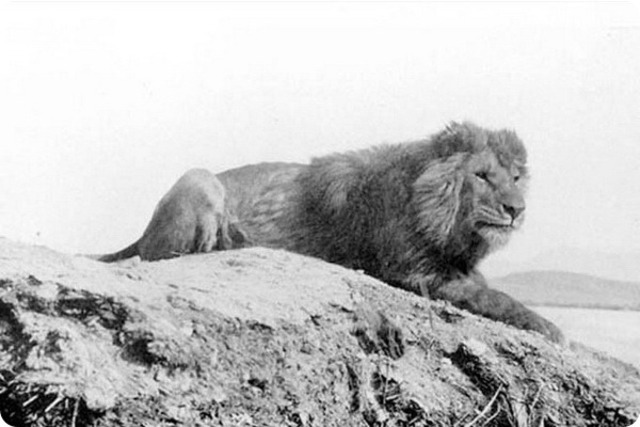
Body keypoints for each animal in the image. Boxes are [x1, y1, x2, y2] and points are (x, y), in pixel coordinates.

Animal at [218, 122, 564, 342]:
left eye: (515, 178)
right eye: (481, 176)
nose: (516, 209)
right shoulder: (414, 273)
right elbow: (494, 298)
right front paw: (549, 327)